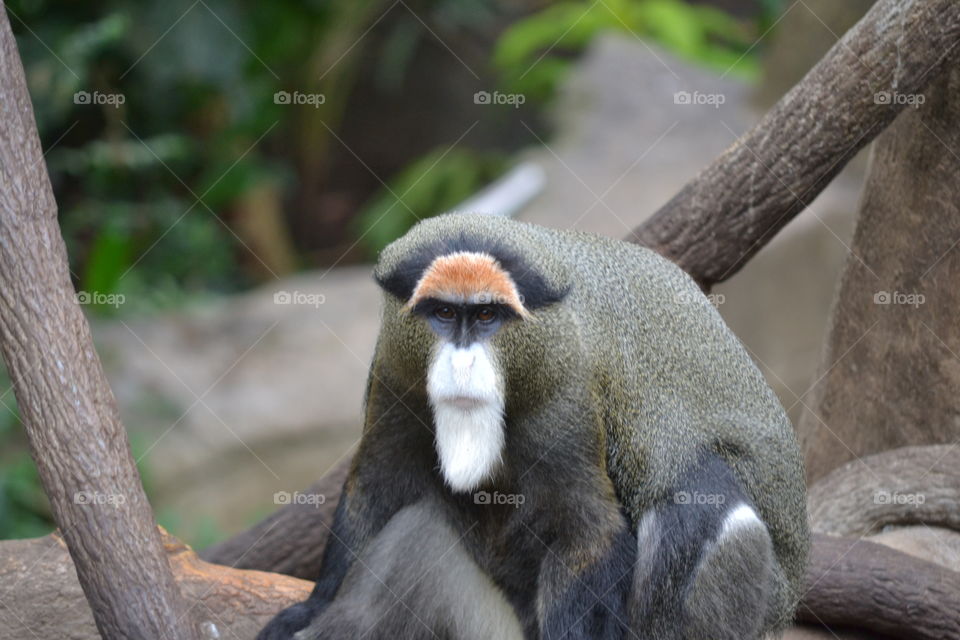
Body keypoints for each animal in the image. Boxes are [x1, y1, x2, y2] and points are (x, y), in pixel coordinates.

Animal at [258, 213, 809, 640]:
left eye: (486, 316)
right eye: (443, 313)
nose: (462, 363)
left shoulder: (566, 387)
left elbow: (585, 525)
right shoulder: (394, 369)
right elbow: (378, 484)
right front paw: (309, 610)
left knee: (701, 501)